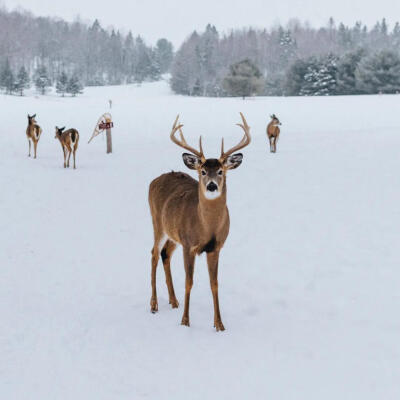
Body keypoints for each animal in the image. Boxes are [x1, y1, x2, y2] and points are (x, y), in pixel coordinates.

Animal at [148, 111, 252, 332]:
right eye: (203, 172)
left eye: (221, 171)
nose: (212, 186)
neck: (207, 228)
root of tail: (155, 180)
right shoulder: (189, 245)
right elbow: (189, 281)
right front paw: (185, 321)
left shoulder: (216, 247)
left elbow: (215, 284)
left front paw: (219, 324)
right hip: (157, 223)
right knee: (153, 254)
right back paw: (154, 305)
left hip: (173, 234)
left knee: (164, 253)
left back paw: (174, 301)